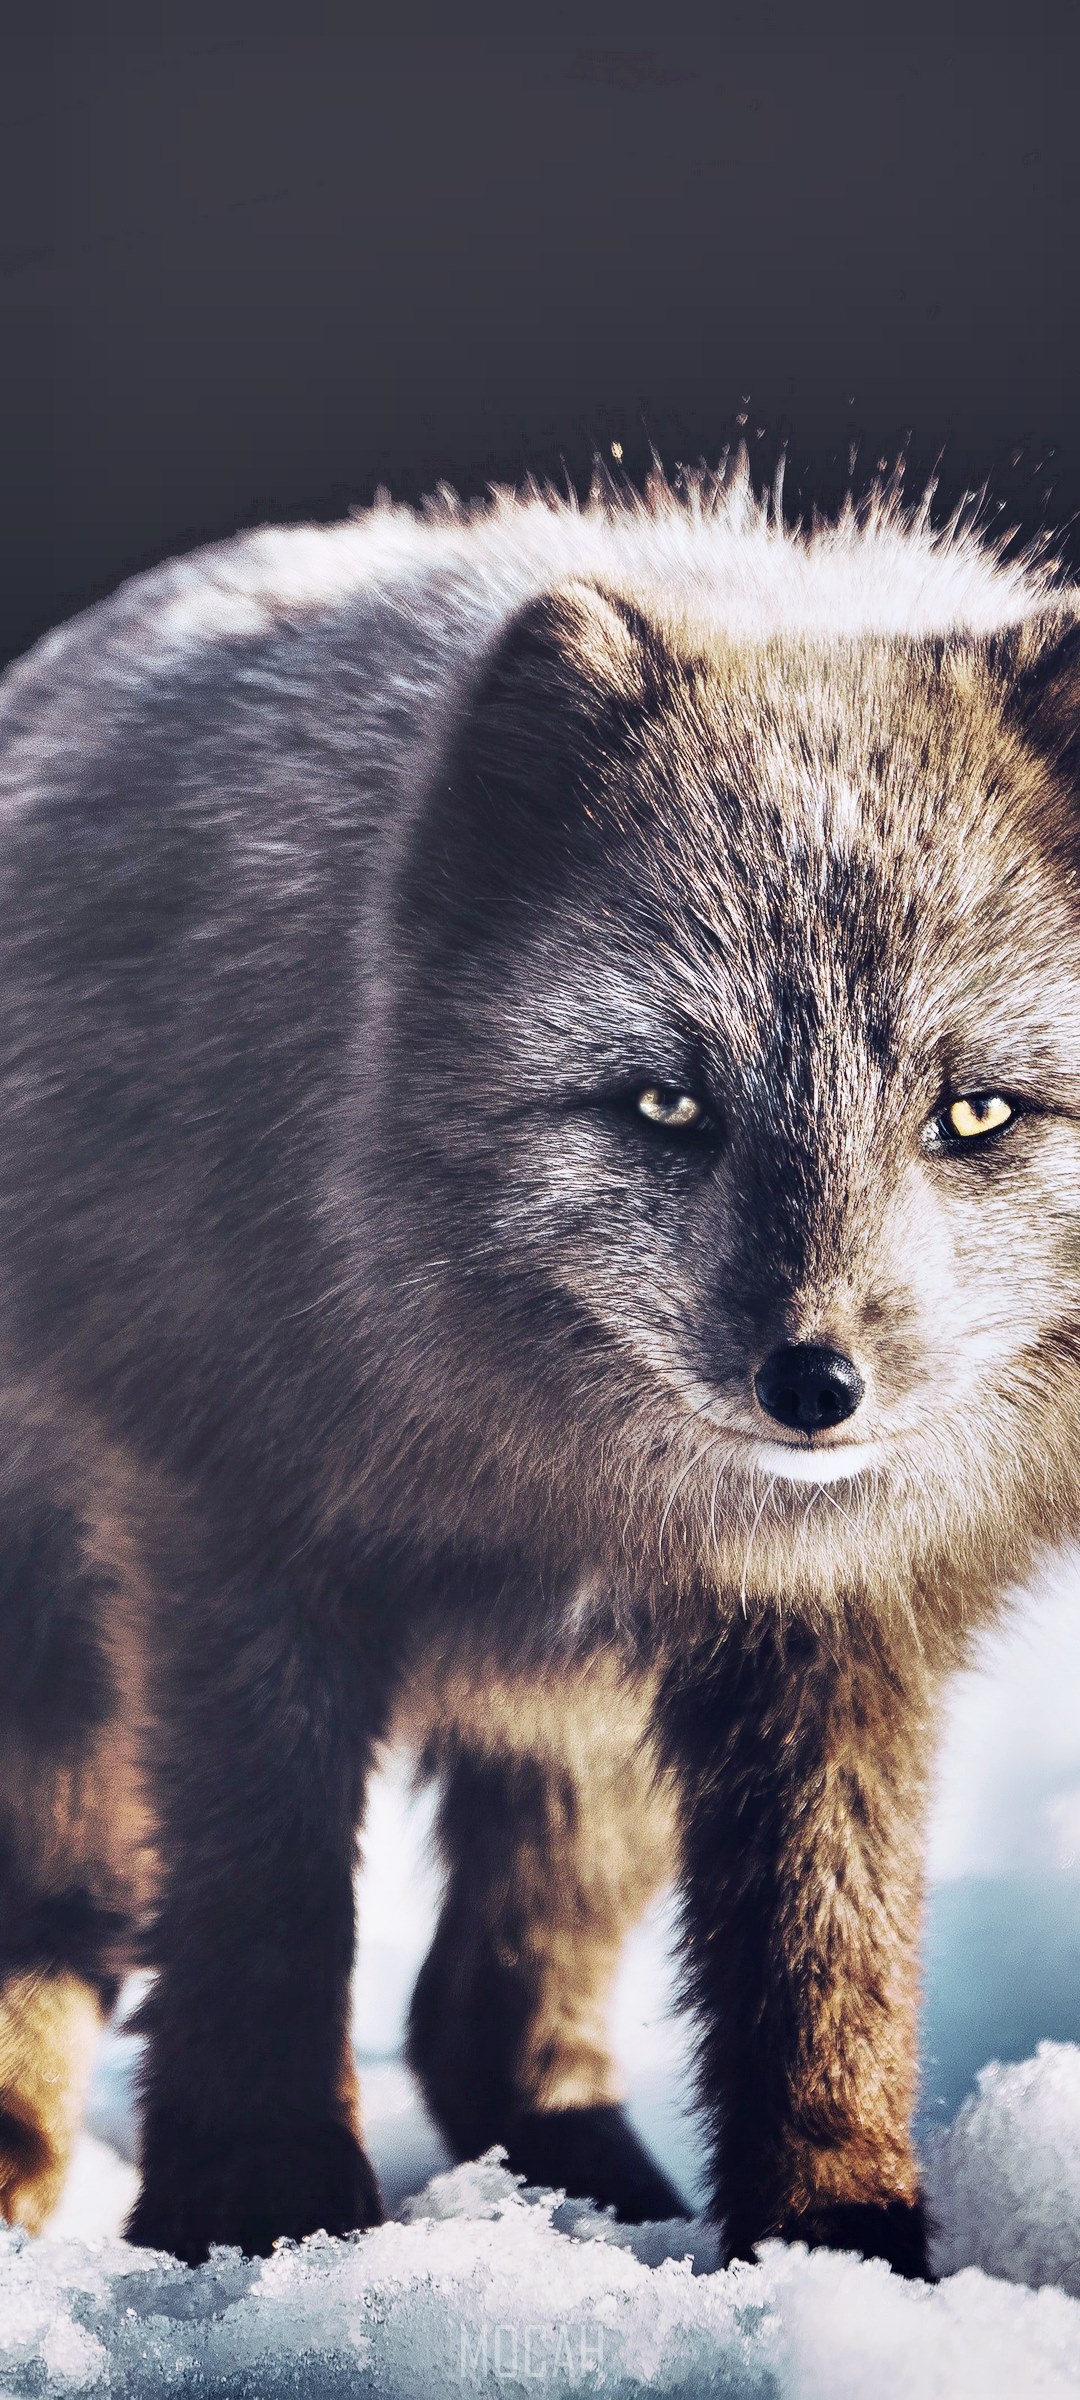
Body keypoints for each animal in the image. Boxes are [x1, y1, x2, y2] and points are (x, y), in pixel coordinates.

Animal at [0, 463, 1078, 2275]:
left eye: (977, 1113)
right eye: (666, 1103)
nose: (816, 1386)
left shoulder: (840, 1631)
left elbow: (830, 1974)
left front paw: (840, 2247)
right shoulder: (232, 1542)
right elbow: (264, 1912)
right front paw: (260, 2213)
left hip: (593, 1739)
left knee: (485, 2016)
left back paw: (584, 2196)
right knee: (76, 1933)